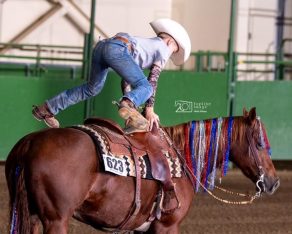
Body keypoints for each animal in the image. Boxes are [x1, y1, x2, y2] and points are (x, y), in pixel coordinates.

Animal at [4, 107, 278, 233]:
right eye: (260, 143)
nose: (274, 182)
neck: (181, 155)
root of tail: (30, 142)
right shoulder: (167, 226)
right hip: (55, 220)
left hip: (31, 216)